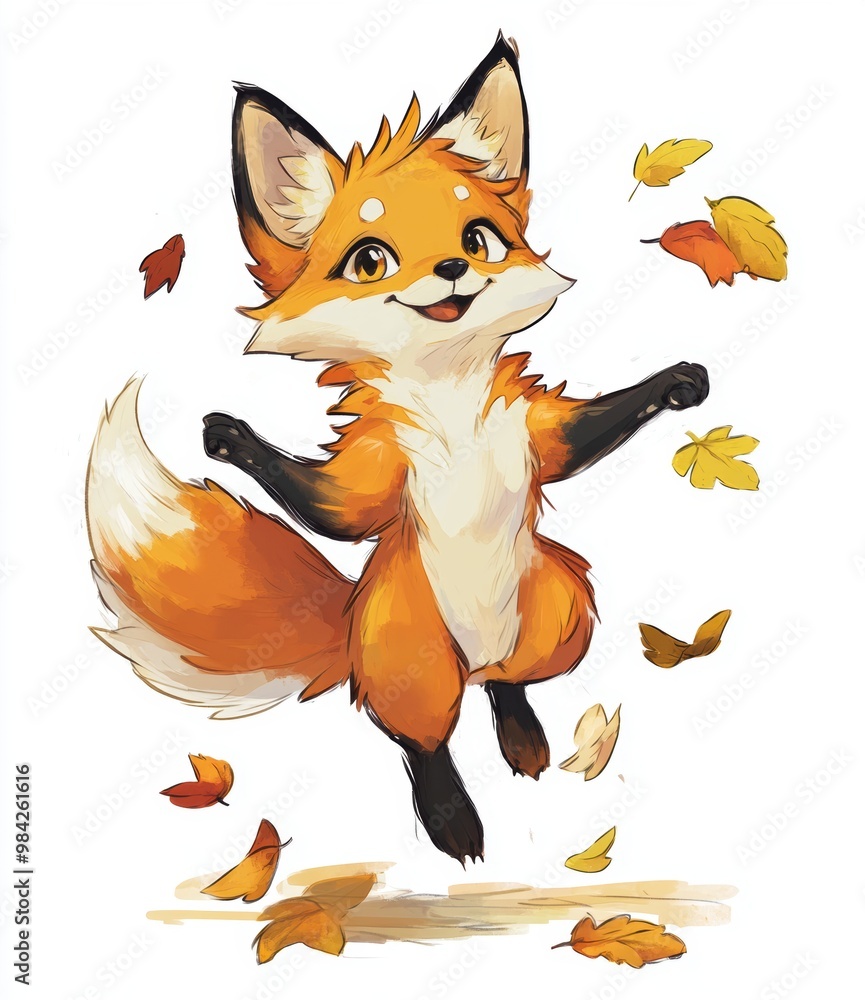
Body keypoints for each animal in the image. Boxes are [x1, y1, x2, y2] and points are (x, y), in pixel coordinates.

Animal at [86, 34, 708, 863]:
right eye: (369, 259)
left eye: (477, 238)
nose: (453, 269)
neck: (450, 413)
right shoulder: (374, 472)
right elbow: (333, 510)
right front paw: (230, 437)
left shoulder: (529, 431)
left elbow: (584, 437)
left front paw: (677, 384)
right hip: (410, 663)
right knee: (421, 741)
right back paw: (453, 821)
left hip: (557, 619)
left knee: (507, 684)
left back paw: (522, 739)